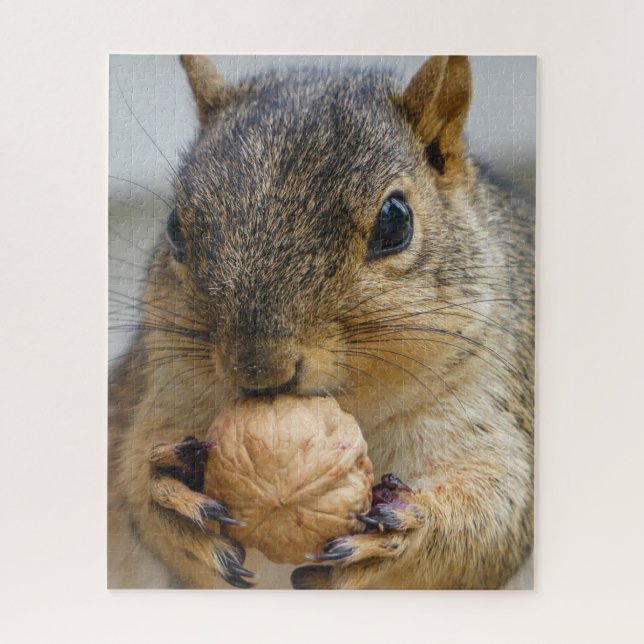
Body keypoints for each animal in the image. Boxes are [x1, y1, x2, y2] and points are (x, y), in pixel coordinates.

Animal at [108, 54, 534, 590]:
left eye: (396, 220)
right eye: (173, 228)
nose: (259, 370)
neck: (353, 404)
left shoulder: (489, 391)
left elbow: (494, 518)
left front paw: (399, 531)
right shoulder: (164, 386)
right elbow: (135, 487)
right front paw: (171, 492)